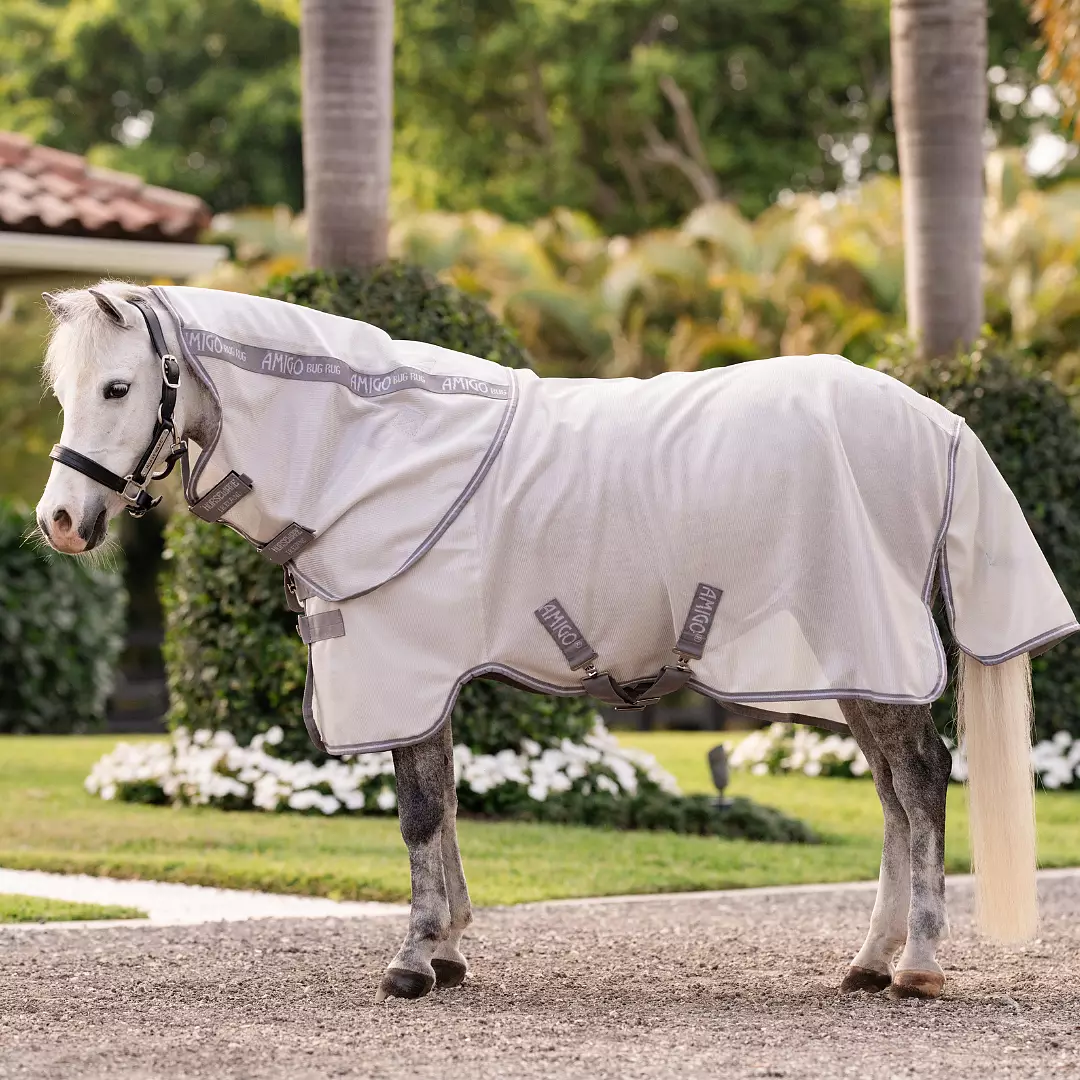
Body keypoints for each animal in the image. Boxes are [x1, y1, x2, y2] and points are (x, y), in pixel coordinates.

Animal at [36, 281, 1077, 1002]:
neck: (369, 446)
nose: (61, 522)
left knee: (923, 784)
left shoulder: (405, 667)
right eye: (61, 387)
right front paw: (449, 948)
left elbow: (419, 815)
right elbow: (445, 805)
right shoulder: (429, 677)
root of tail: (936, 421)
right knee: (898, 798)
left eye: (119, 386)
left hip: (870, 652)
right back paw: (869, 961)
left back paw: (919, 966)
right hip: (853, 669)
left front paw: (413, 961)